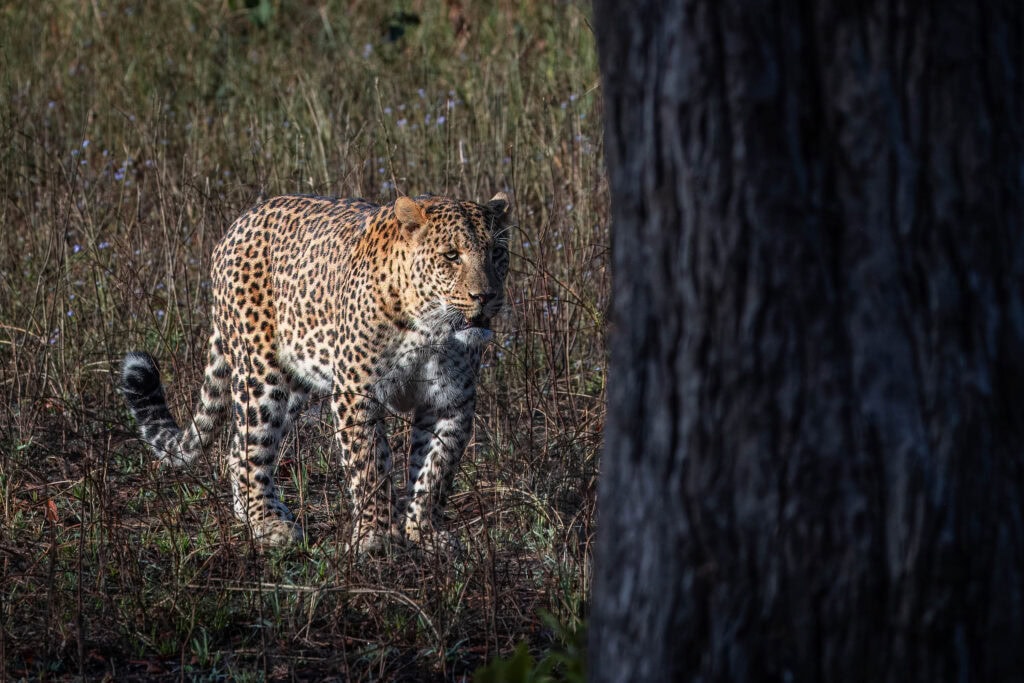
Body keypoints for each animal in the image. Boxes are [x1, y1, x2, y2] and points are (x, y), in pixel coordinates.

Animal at [120, 191, 512, 552]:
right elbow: (370, 464)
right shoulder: (357, 392)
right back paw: (268, 524)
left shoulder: (450, 401)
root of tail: (238, 223)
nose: (486, 296)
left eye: (496, 253)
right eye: (451, 255)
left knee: (236, 448)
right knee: (249, 445)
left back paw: (253, 513)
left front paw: (424, 532)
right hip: (261, 374)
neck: (431, 329)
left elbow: (435, 471)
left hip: (295, 381)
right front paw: (376, 537)